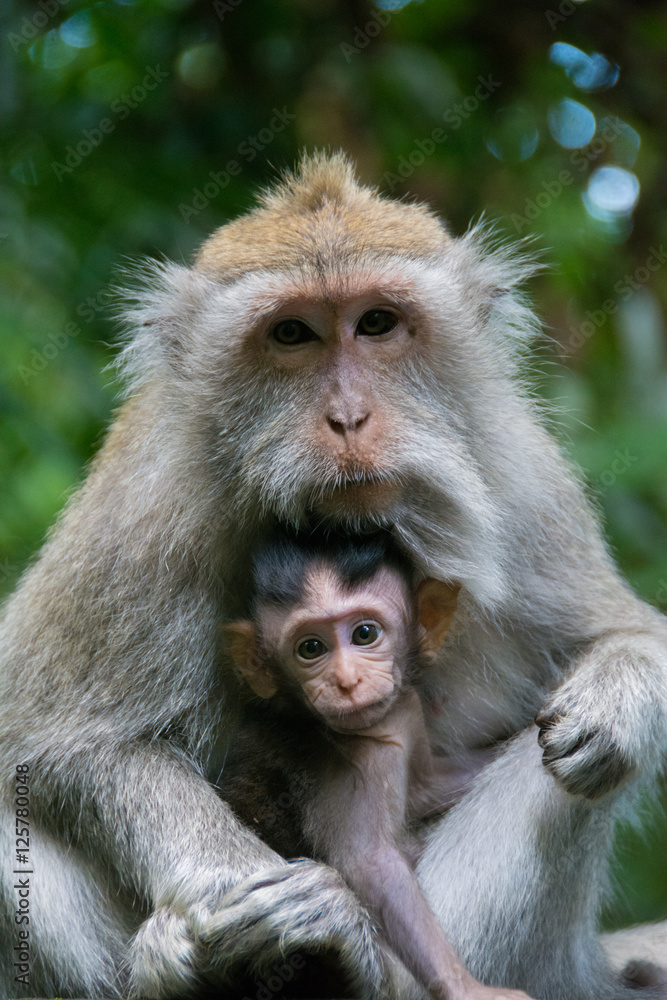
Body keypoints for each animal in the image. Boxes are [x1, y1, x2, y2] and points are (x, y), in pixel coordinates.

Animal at [222, 528, 528, 996]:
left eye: (365, 634)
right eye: (311, 648)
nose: (346, 681)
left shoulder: (407, 714)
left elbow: (425, 788)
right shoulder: (359, 767)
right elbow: (370, 863)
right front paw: (466, 988)